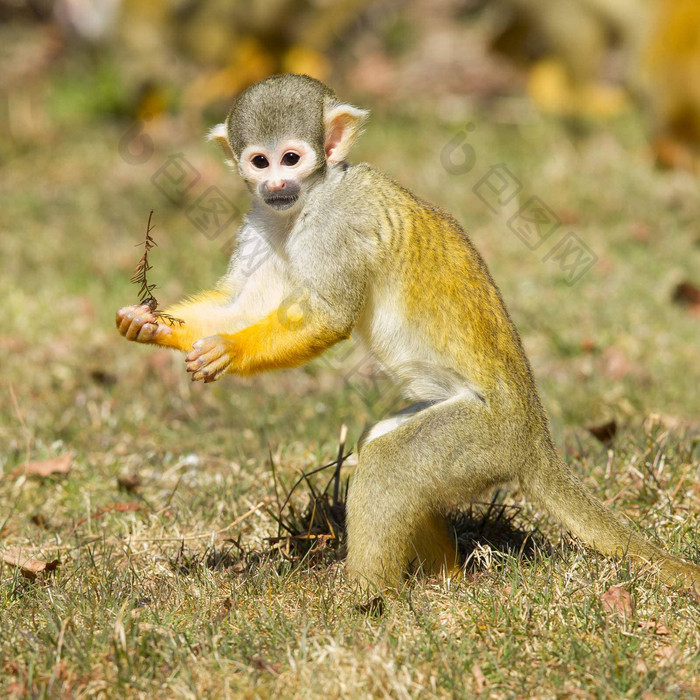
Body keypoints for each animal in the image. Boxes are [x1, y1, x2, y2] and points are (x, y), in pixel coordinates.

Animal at [116, 75, 700, 592]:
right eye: (259, 161)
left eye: (292, 159)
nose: (275, 185)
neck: (310, 199)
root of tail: (536, 440)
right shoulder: (263, 219)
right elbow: (242, 304)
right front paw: (149, 324)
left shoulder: (337, 226)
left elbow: (328, 316)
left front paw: (230, 351)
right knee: (383, 445)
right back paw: (443, 578)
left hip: (484, 438)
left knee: (389, 463)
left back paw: (364, 594)